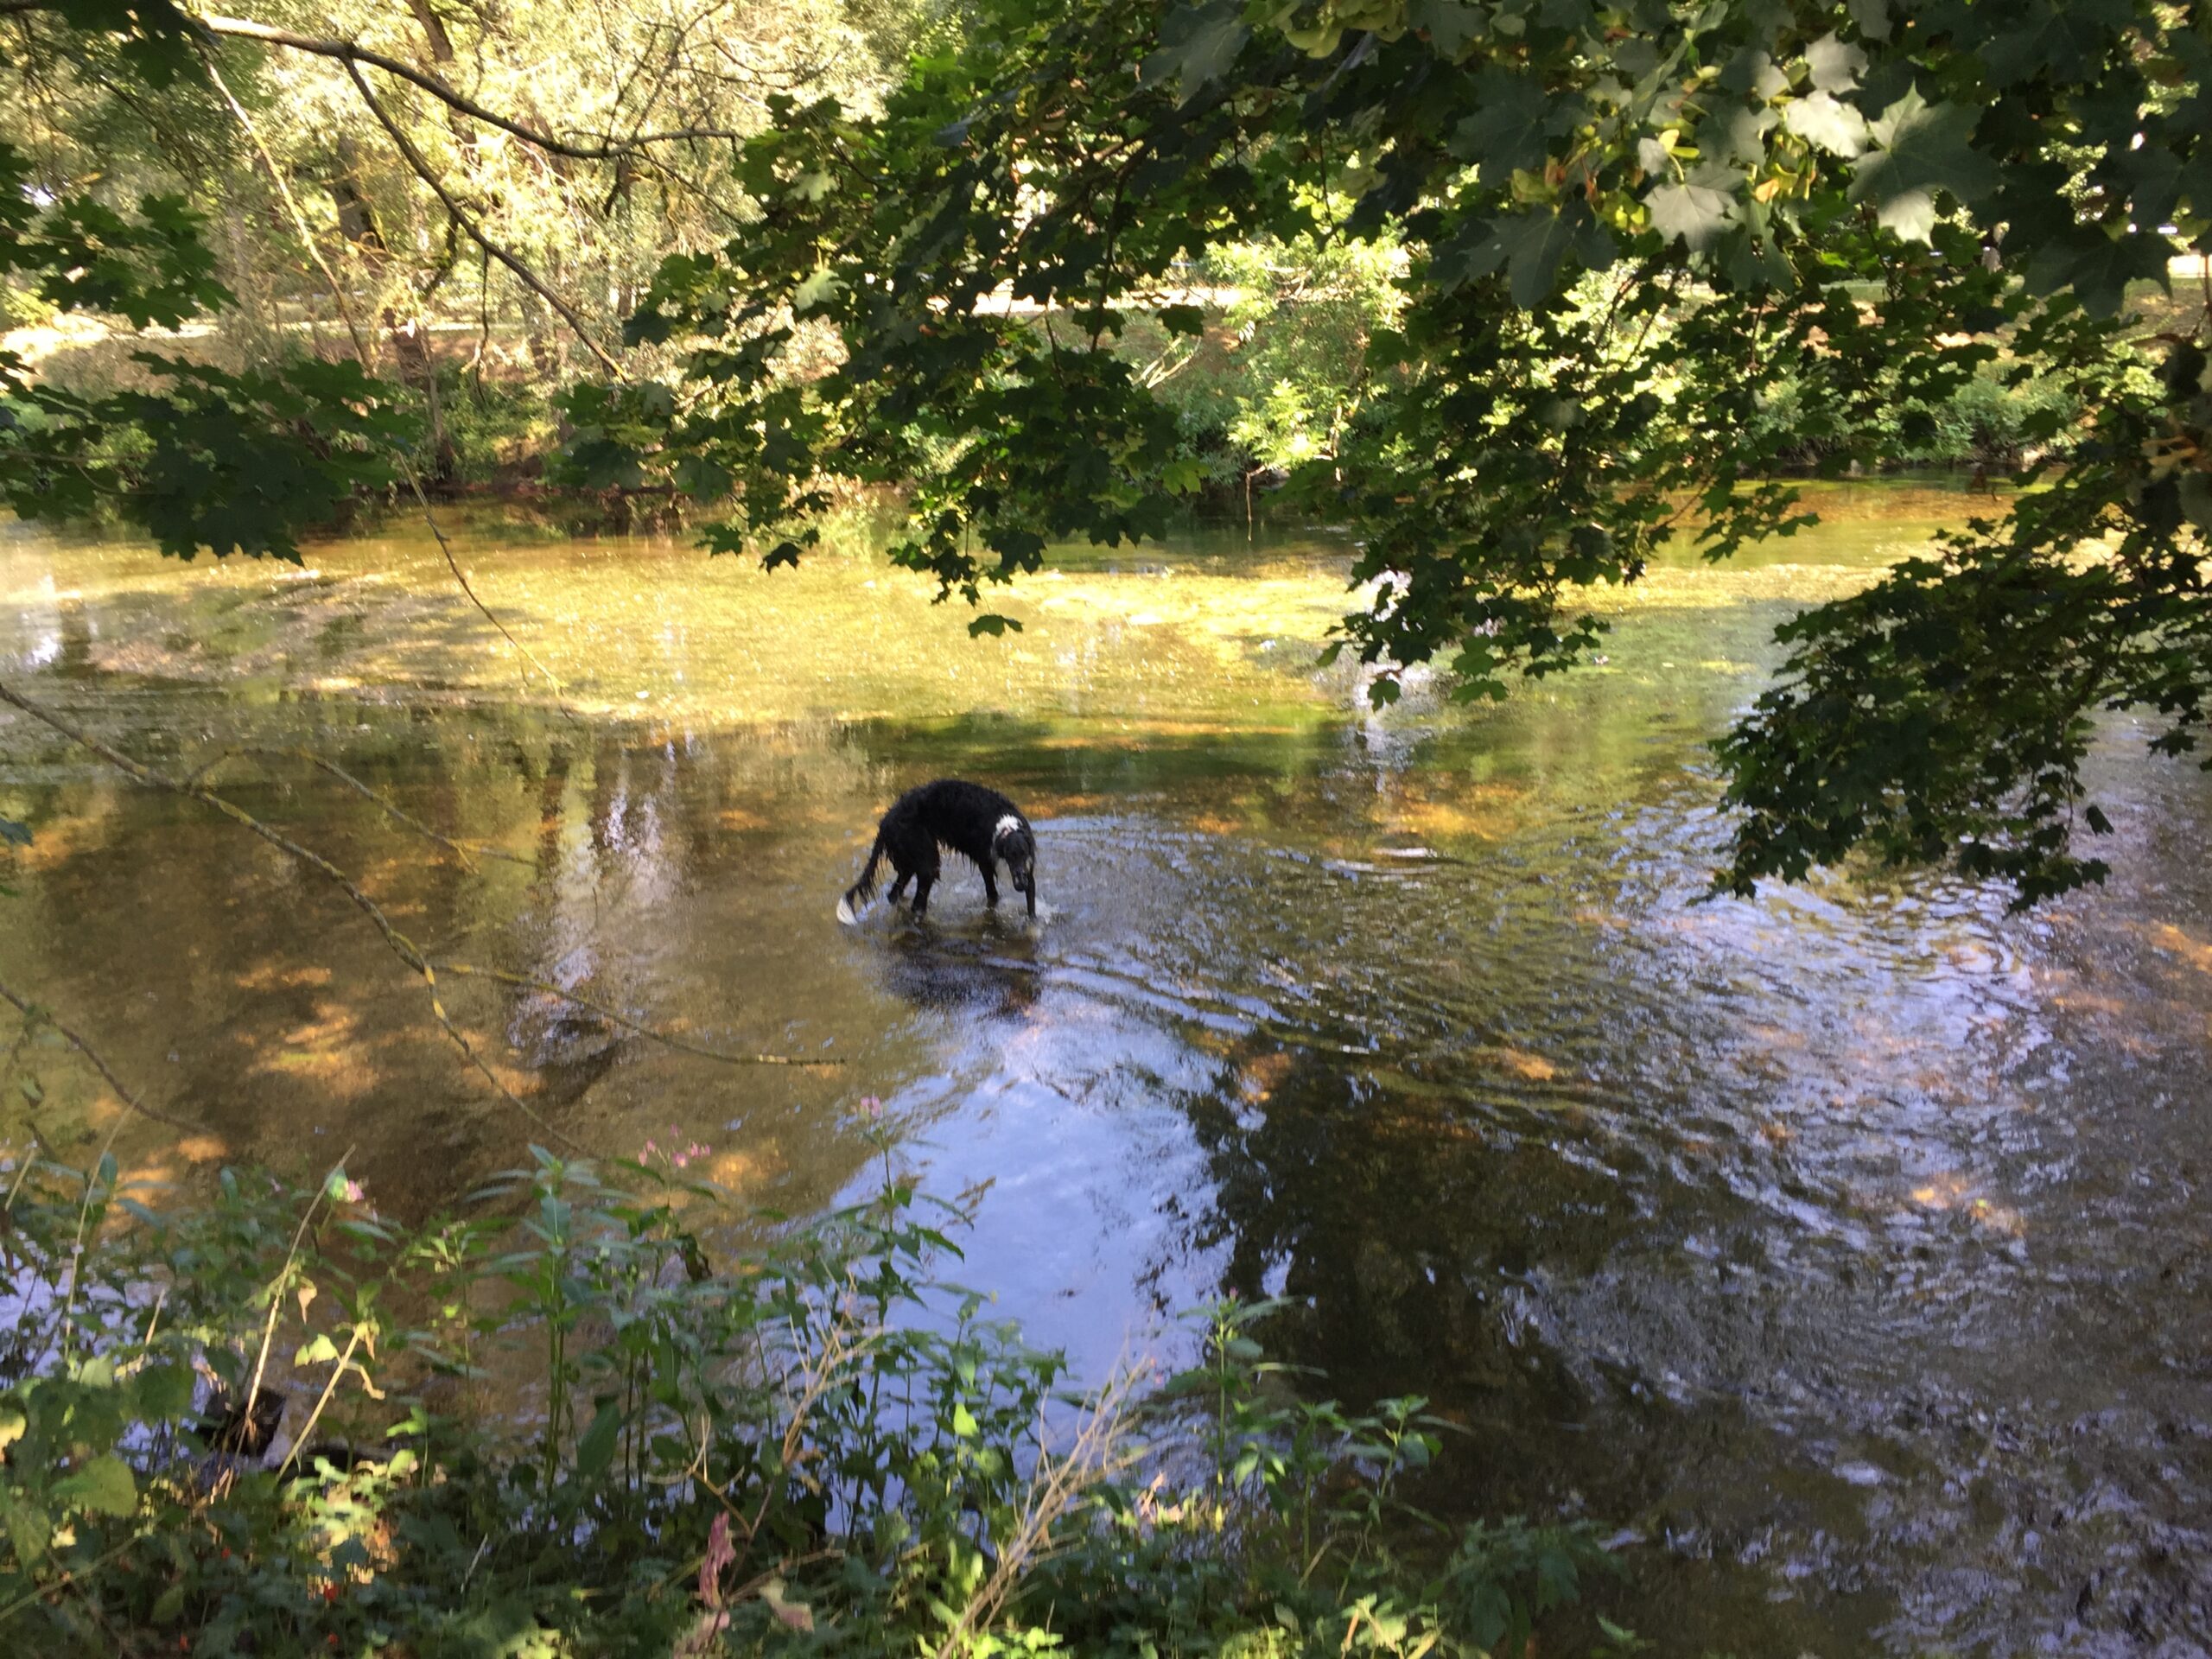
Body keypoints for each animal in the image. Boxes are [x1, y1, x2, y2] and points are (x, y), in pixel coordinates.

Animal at [840, 779, 1039, 925]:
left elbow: (1026, 908)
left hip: (909, 863)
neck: (1006, 827)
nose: (1020, 885)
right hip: (925, 861)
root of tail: (886, 821)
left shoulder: (1027, 869)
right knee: (917, 905)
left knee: (894, 895)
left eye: (1024, 853)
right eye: (1010, 855)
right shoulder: (986, 863)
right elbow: (993, 894)